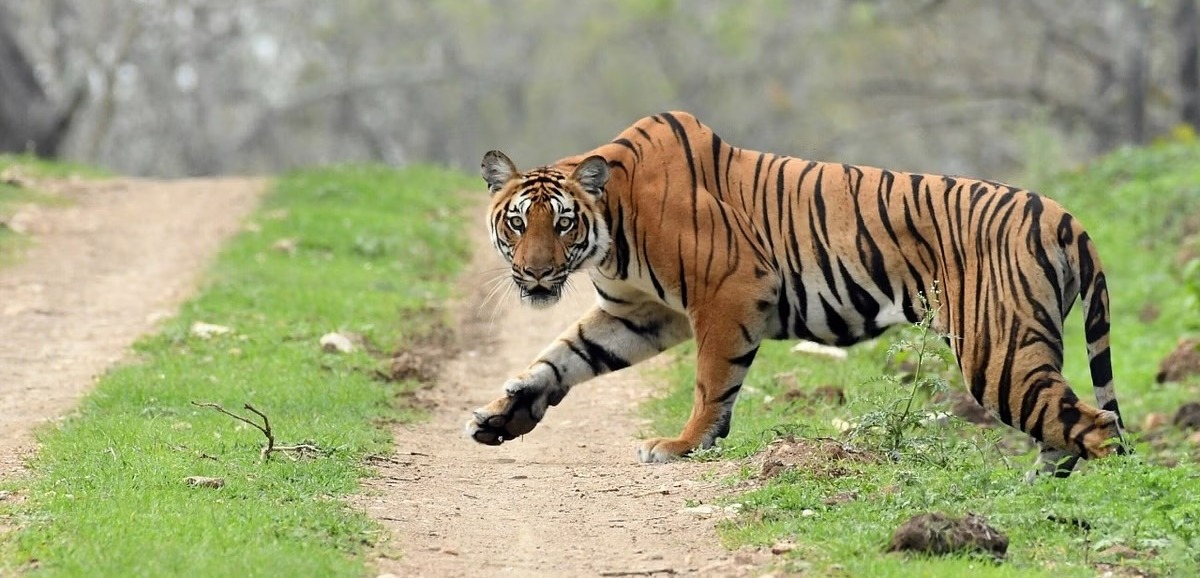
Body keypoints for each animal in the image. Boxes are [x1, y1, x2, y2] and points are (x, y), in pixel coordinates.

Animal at [465, 110, 1123, 477]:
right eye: (518, 223)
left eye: (562, 224)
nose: (536, 274)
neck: (610, 228)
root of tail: (1067, 217)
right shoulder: (639, 313)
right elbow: (560, 358)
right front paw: (501, 417)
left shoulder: (728, 289)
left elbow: (711, 381)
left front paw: (682, 445)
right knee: (1066, 430)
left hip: (997, 348)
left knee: (1096, 427)